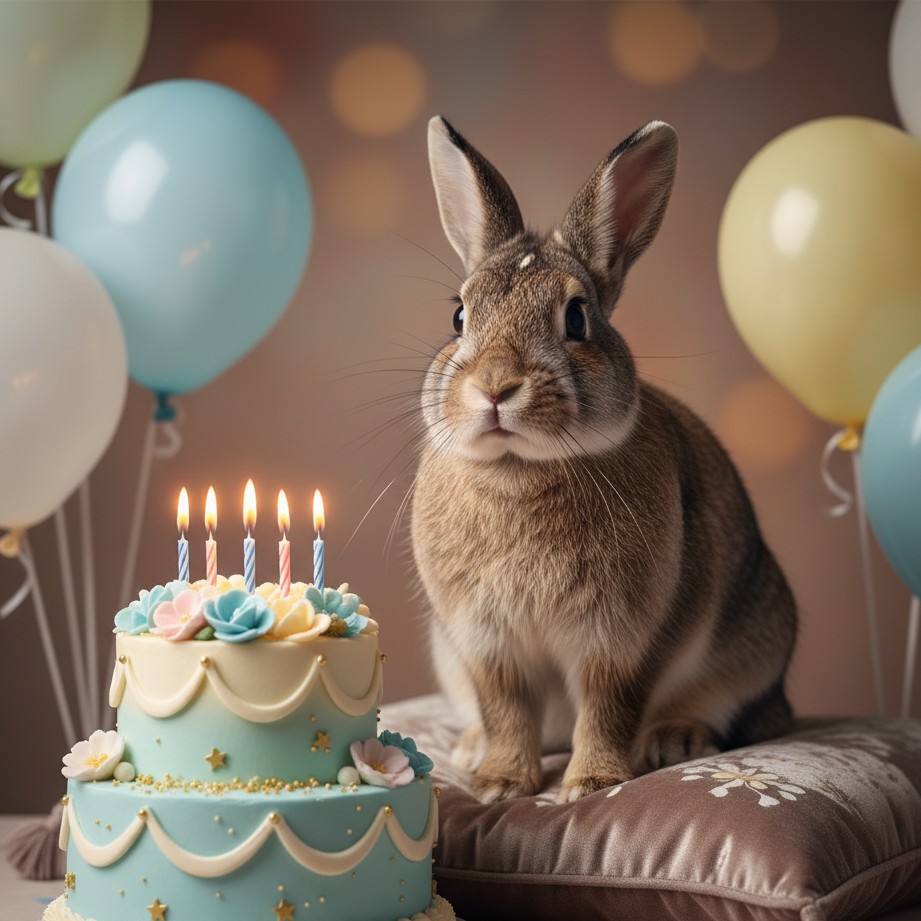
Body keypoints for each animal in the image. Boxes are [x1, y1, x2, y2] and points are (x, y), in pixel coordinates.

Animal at [410, 116, 797, 804]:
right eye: (458, 315)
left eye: (575, 318)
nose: (496, 386)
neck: (518, 470)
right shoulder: (487, 648)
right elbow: (506, 710)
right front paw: (500, 785)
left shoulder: (622, 643)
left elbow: (609, 707)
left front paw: (591, 785)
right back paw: (473, 746)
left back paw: (677, 741)